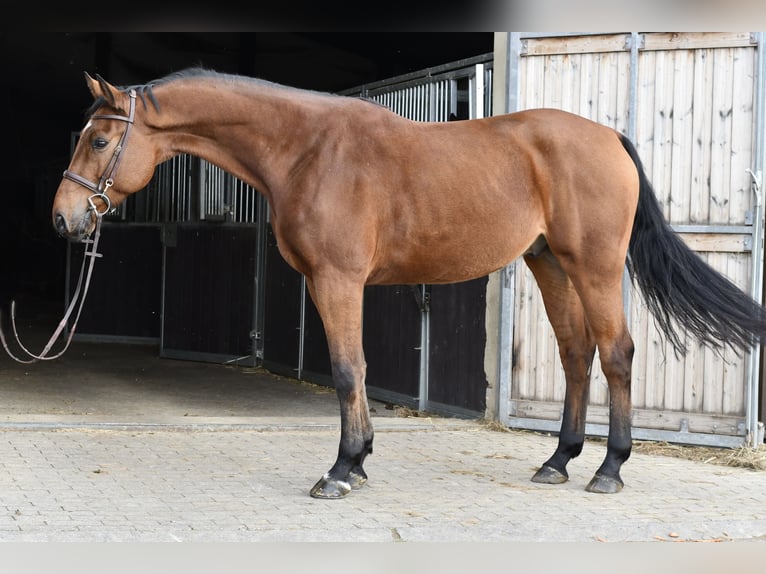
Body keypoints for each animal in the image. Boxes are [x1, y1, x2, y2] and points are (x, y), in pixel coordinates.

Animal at [51, 67, 766, 498]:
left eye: (97, 141)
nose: (64, 218)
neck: (308, 151)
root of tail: (609, 137)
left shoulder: (338, 280)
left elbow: (348, 370)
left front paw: (343, 469)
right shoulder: (329, 283)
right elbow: (355, 369)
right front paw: (361, 460)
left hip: (592, 265)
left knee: (616, 354)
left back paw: (610, 469)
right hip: (550, 263)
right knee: (575, 356)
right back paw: (558, 461)